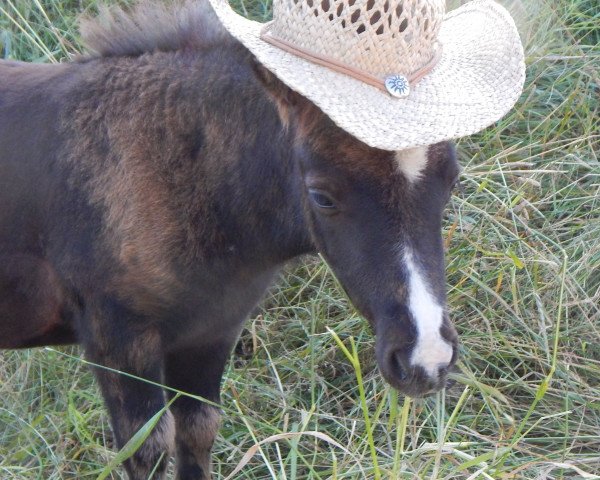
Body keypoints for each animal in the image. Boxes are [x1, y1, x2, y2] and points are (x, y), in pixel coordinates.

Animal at [0, 1, 460, 478]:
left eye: (452, 179)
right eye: (322, 195)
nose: (426, 359)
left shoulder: (211, 333)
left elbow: (198, 430)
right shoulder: (117, 339)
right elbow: (146, 449)